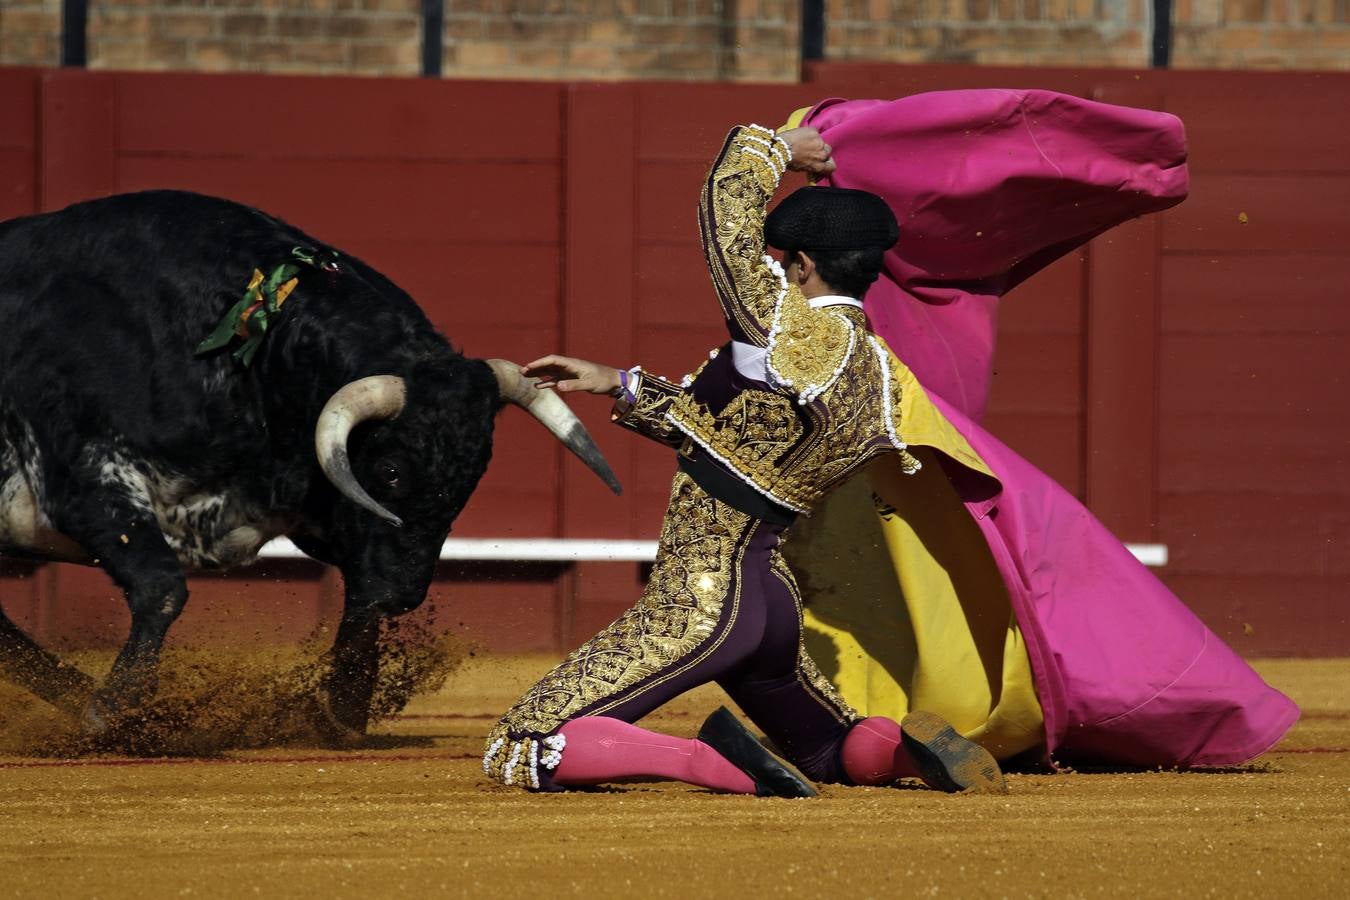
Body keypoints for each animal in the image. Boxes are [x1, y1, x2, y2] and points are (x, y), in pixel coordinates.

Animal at [0, 190, 621, 739]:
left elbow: (361, 602)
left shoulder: (326, 509)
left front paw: (342, 713)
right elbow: (161, 589)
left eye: (470, 481)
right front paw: (113, 713)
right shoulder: (82, 479)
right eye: (391, 471)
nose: (405, 596)